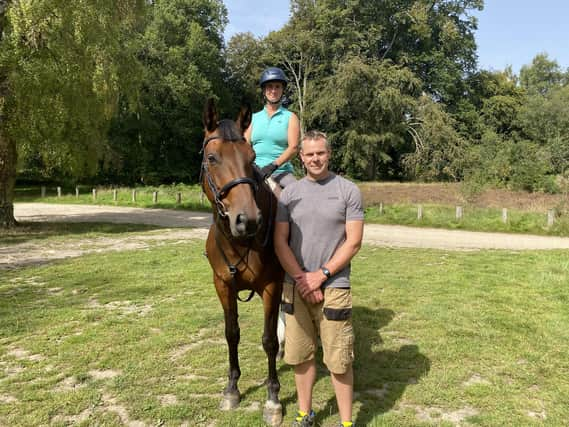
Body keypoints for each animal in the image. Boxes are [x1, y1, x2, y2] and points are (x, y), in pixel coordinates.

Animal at [201, 99, 284, 424]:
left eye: (252, 158)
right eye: (212, 158)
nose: (247, 220)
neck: (240, 241)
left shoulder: (272, 286)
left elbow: (269, 340)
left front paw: (273, 398)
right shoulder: (222, 285)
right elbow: (231, 333)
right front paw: (232, 389)